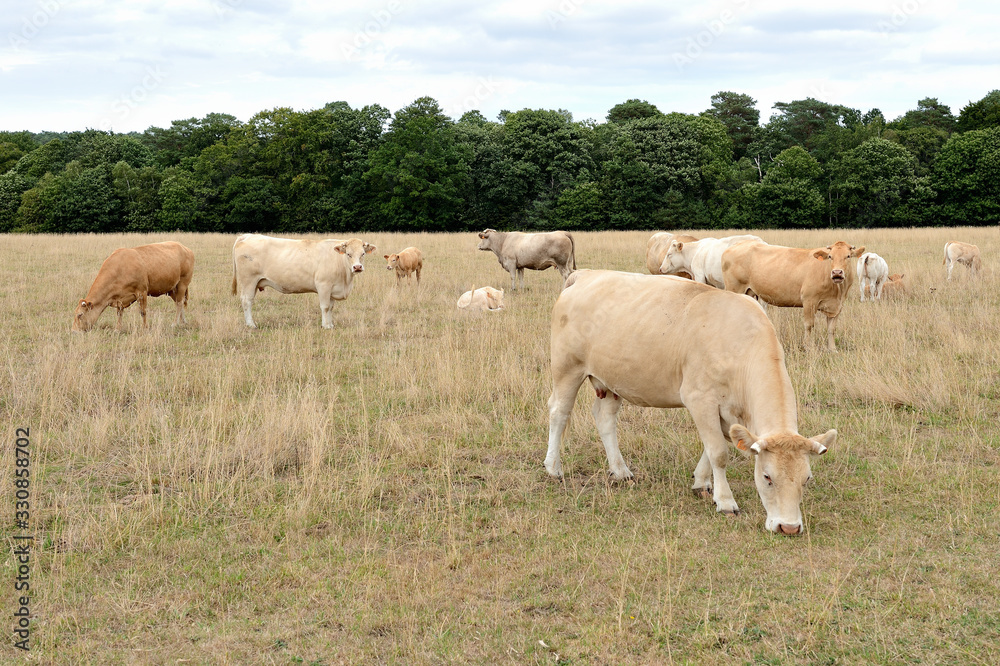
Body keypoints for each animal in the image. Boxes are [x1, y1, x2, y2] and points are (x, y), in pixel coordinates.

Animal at [231, 234, 375, 329]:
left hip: (255, 282)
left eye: (363, 253)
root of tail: (247, 235)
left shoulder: (332, 288)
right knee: (247, 301)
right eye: (348, 254)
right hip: (249, 281)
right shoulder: (323, 285)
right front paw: (325, 326)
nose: (357, 267)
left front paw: (330, 324)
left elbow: (331, 308)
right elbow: (325, 307)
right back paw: (251, 324)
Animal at [545, 270, 834, 535]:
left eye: (807, 478)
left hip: (611, 380)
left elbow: (711, 447)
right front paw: (725, 501)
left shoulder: (727, 414)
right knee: (559, 413)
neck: (740, 342)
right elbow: (718, 452)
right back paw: (553, 467)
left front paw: (701, 482)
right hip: (567, 368)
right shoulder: (700, 399)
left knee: (605, 418)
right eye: (767, 477)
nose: (789, 527)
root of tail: (586, 274)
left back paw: (620, 470)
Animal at [722, 240, 864, 352]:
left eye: (848, 256)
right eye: (830, 256)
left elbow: (831, 329)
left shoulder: (837, 306)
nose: (837, 273)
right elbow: (809, 325)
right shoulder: (809, 301)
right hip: (734, 288)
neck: (837, 292)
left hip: (750, 293)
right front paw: (808, 347)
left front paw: (832, 349)